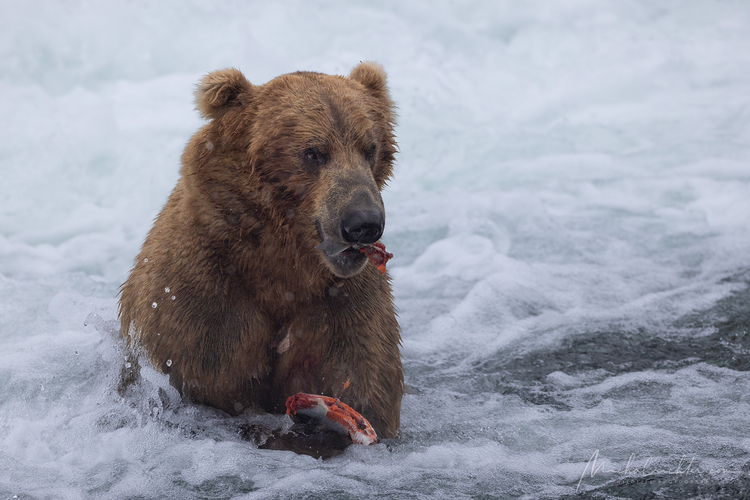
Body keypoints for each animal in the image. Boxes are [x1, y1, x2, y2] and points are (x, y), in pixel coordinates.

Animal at [120, 61, 406, 438]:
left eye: (370, 147)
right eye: (313, 152)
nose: (363, 222)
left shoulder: (344, 310)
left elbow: (364, 385)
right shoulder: (200, 304)